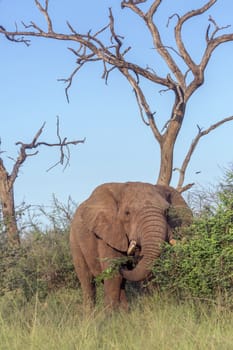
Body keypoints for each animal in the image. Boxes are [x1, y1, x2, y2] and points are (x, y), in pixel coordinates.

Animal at [69, 180, 193, 308]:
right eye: (127, 213)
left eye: (167, 211)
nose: (123, 265)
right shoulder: (107, 233)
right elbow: (113, 274)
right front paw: (110, 313)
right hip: (74, 241)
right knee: (87, 280)